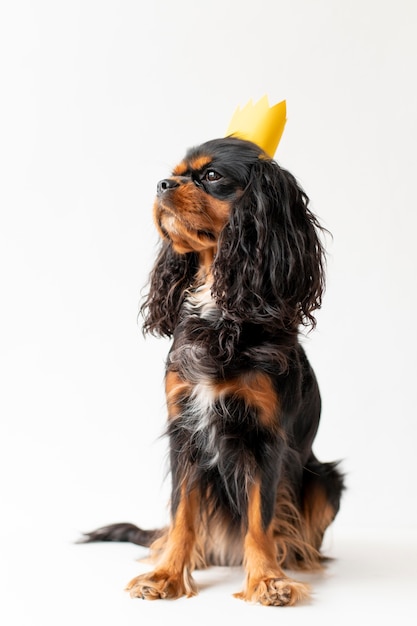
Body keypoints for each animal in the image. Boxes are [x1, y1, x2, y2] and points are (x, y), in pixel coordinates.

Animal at [83, 133, 342, 604]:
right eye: (176, 173)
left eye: (212, 175)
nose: (162, 185)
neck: (220, 302)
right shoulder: (185, 429)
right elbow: (183, 512)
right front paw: (166, 575)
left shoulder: (264, 437)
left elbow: (260, 519)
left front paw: (267, 580)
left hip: (326, 478)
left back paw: (293, 559)